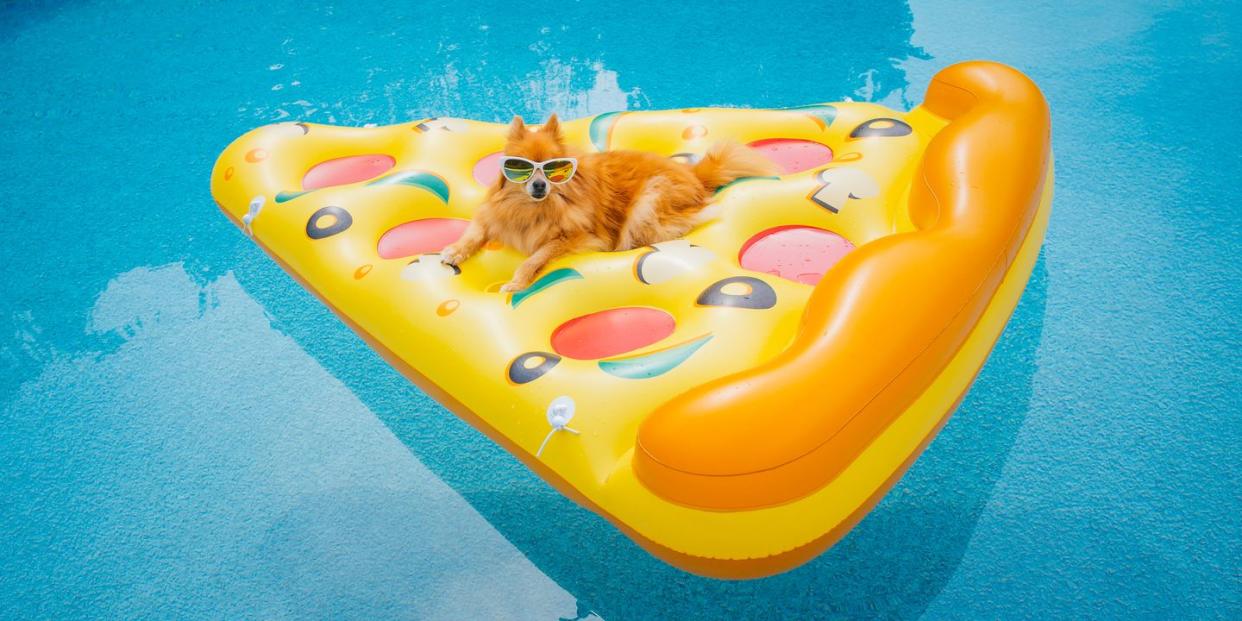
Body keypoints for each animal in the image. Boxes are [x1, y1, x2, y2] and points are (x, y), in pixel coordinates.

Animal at [439, 113, 775, 290]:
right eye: (520, 168)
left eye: (553, 169)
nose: (538, 184)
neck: (534, 209)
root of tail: (692, 172)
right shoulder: (492, 214)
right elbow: (473, 232)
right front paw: (454, 251)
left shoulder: (577, 237)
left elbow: (536, 256)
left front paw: (516, 282)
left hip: (649, 200)